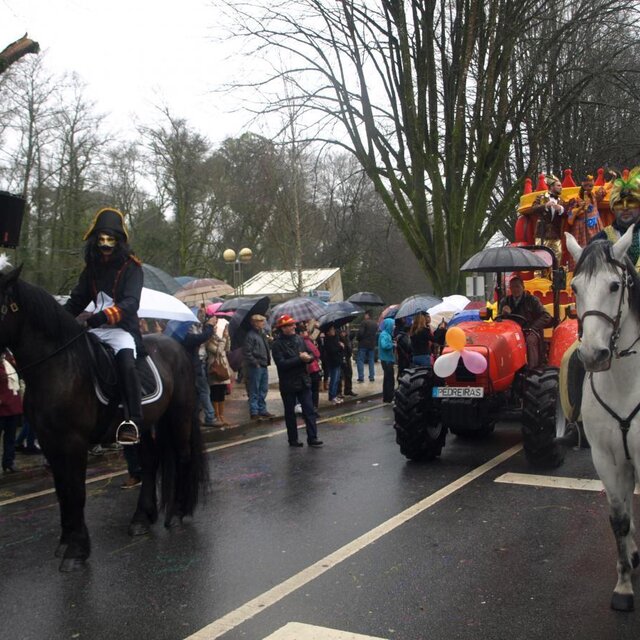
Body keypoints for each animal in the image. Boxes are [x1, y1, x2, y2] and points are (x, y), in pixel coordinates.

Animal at [0, 262, 207, 572]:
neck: (58, 366)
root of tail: (178, 347)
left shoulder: (73, 441)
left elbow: (76, 490)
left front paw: (76, 550)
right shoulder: (50, 442)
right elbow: (62, 490)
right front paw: (66, 542)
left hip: (179, 416)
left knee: (182, 457)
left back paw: (177, 513)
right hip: (144, 424)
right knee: (150, 462)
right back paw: (141, 519)